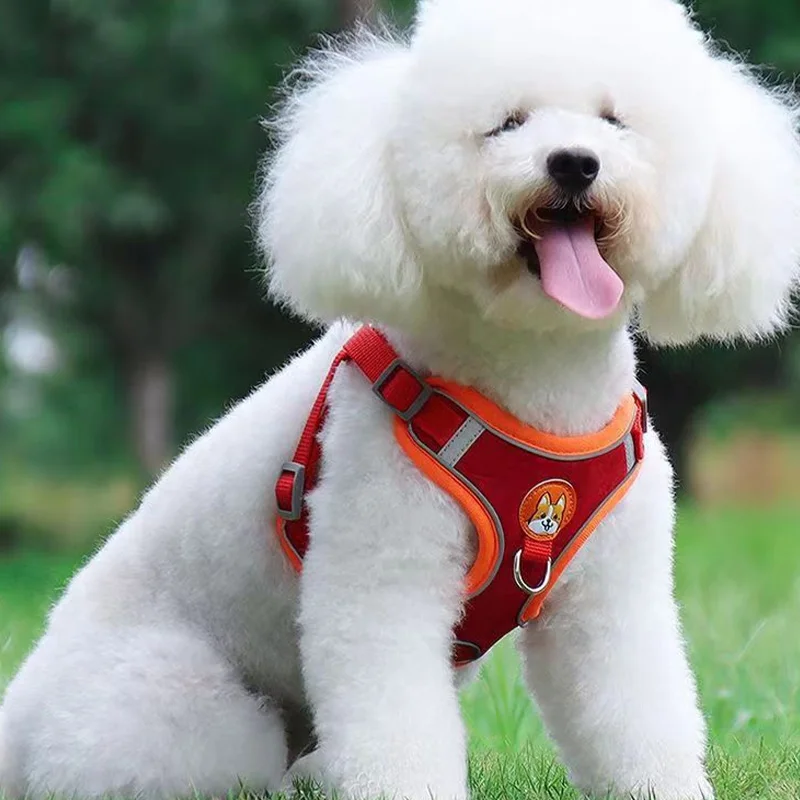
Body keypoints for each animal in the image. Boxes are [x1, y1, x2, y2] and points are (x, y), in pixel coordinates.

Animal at [1, 0, 800, 796]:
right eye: (506, 123)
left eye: (614, 120)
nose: (574, 161)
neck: (537, 384)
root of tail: (16, 727)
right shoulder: (382, 578)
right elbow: (397, 728)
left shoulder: (610, 598)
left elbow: (635, 715)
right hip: (182, 708)